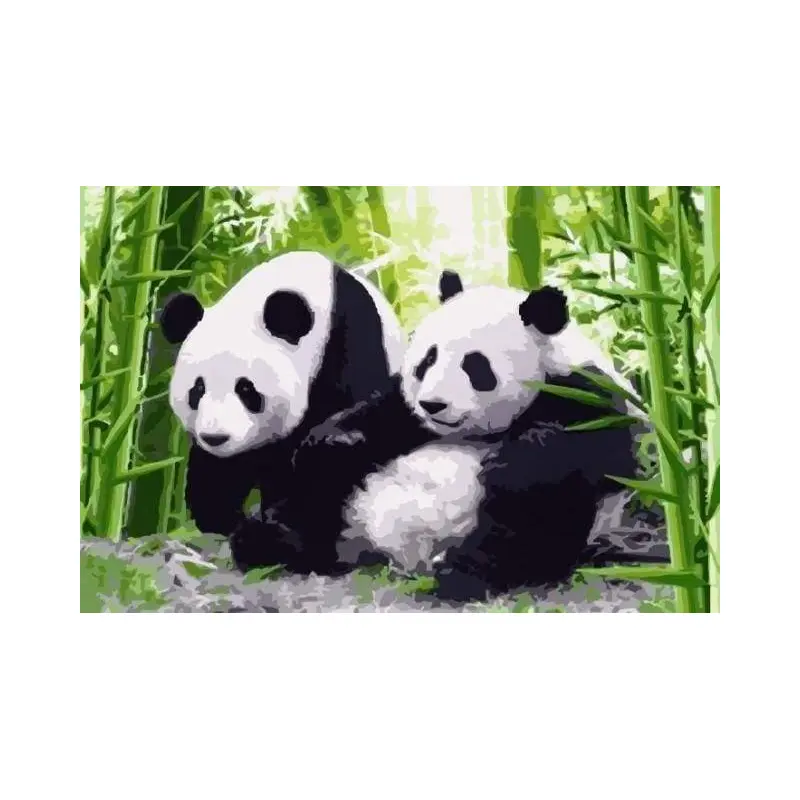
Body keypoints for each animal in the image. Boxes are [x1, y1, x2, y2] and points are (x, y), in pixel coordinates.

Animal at [159, 250, 405, 569]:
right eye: (197, 390)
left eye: (246, 389)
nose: (216, 438)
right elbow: (220, 471)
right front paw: (225, 520)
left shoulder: (351, 344)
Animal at [286, 269, 643, 600]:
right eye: (428, 359)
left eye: (475, 366)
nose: (433, 404)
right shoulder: (403, 411)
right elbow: (373, 418)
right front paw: (338, 439)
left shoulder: (583, 391)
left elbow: (595, 455)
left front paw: (513, 465)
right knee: (320, 487)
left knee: (534, 520)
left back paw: (463, 573)